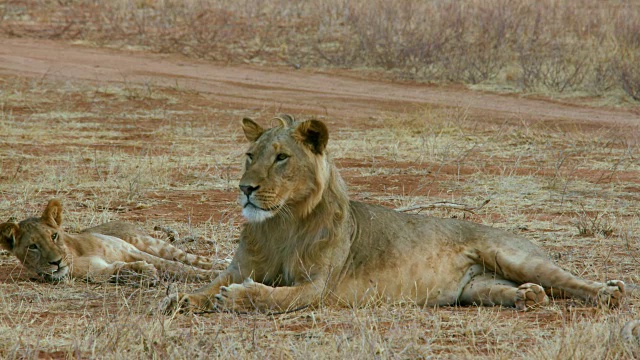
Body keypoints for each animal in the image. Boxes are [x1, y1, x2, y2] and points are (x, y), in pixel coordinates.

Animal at [0, 198, 219, 286]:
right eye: (32, 247)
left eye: (54, 236)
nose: (56, 262)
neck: (74, 253)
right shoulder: (96, 271)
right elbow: (117, 270)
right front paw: (143, 272)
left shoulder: (130, 250)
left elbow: (178, 267)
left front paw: (213, 276)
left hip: (152, 243)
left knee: (190, 258)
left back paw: (221, 264)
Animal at [159, 114, 624, 314]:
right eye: (249, 155)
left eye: (281, 158)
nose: (245, 189)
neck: (282, 224)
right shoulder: (240, 266)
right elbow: (210, 283)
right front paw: (183, 297)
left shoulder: (318, 286)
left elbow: (274, 297)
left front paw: (236, 298)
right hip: (475, 289)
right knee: (510, 291)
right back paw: (526, 296)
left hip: (512, 255)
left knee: (570, 281)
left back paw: (609, 292)